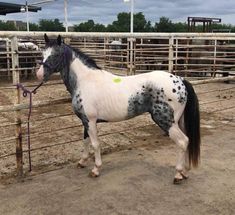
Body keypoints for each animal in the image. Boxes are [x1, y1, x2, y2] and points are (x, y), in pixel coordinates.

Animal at [36, 34, 200, 183]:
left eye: (56, 54)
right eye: (43, 53)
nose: (39, 75)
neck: (85, 81)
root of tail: (180, 80)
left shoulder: (91, 121)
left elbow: (95, 144)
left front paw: (95, 169)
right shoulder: (85, 121)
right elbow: (85, 141)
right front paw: (82, 162)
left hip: (166, 121)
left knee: (183, 142)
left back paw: (178, 174)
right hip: (178, 121)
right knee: (187, 141)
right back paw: (185, 172)